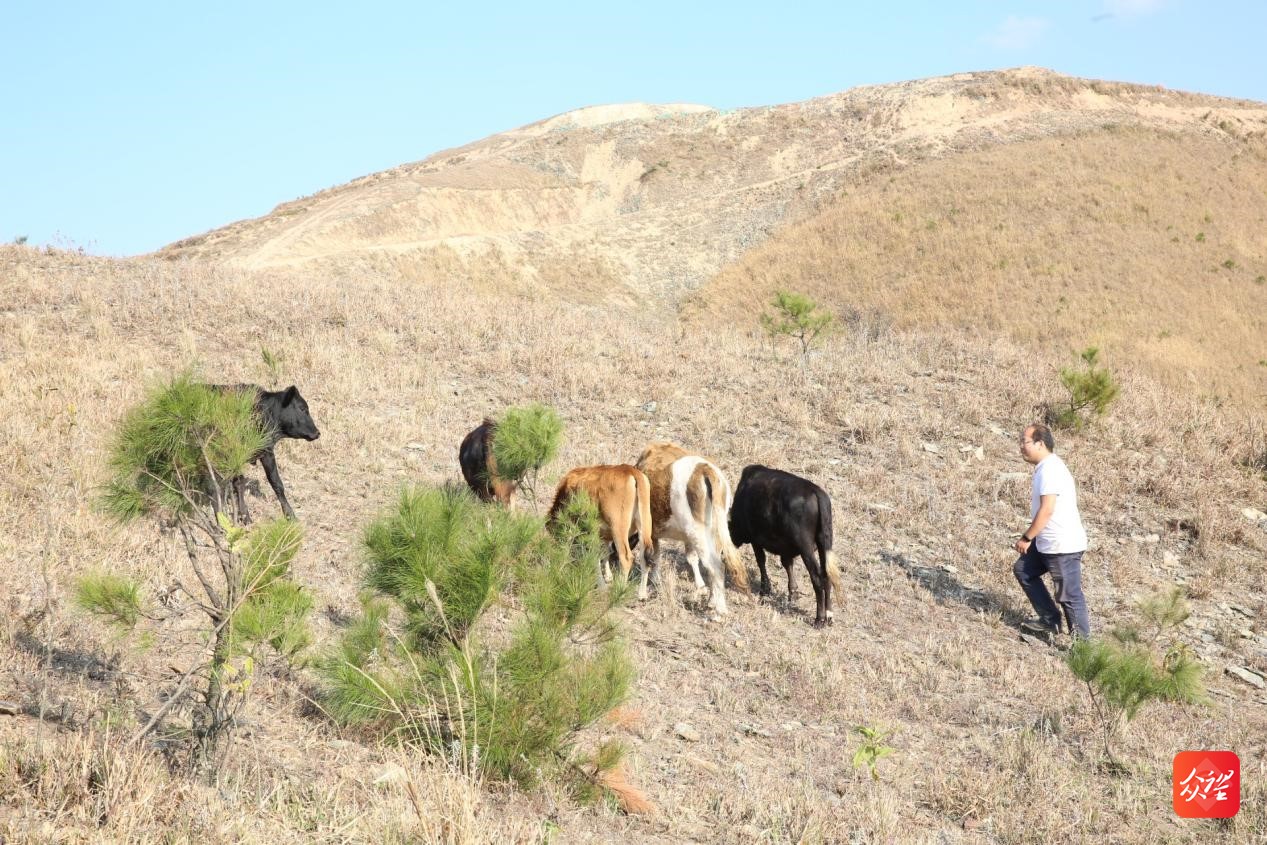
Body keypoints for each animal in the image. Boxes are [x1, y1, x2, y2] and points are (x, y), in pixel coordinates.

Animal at [216, 385, 321, 519]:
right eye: (302, 408)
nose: (317, 433)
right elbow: (239, 482)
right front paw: (245, 515)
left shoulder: (267, 452)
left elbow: (276, 482)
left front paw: (290, 515)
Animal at [549, 466, 658, 597]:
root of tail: (630, 470)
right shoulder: (603, 535)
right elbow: (605, 552)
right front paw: (608, 577)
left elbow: (594, 554)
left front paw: (601, 585)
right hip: (644, 525)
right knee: (645, 557)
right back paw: (641, 594)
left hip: (618, 528)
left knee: (626, 558)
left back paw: (619, 590)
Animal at [633, 443, 750, 615]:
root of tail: (704, 469)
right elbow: (684, 558)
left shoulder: (647, 532)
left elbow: (646, 558)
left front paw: (642, 593)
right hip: (711, 533)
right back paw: (711, 601)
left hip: (697, 533)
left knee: (716, 566)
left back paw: (720, 611)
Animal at [729, 466, 836, 625]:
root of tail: (816, 492)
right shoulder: (785, 548)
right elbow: (787, 564)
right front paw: (793, 593)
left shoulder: (755, 539)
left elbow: (761, 561)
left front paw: (765, 589)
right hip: (825, 542)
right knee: (826, 574)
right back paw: (829, 615)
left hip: (806, 548)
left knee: (817, 577)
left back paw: (819, 618)